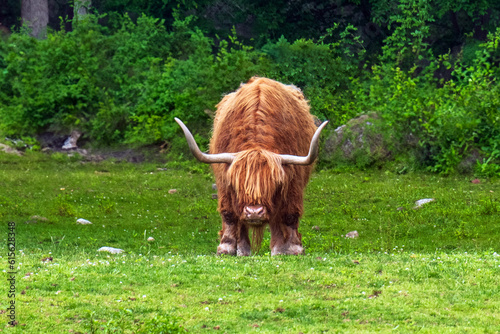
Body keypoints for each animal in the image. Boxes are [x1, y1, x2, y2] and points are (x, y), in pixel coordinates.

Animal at [176, 77, 328, 256]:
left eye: (275, 184)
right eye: (237, 185)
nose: (254, 212)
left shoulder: (294, 180)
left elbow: (289, 214)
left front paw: (292, 248)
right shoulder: (224, 181)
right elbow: (229, 214)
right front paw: (227, 247)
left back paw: (277, 249)